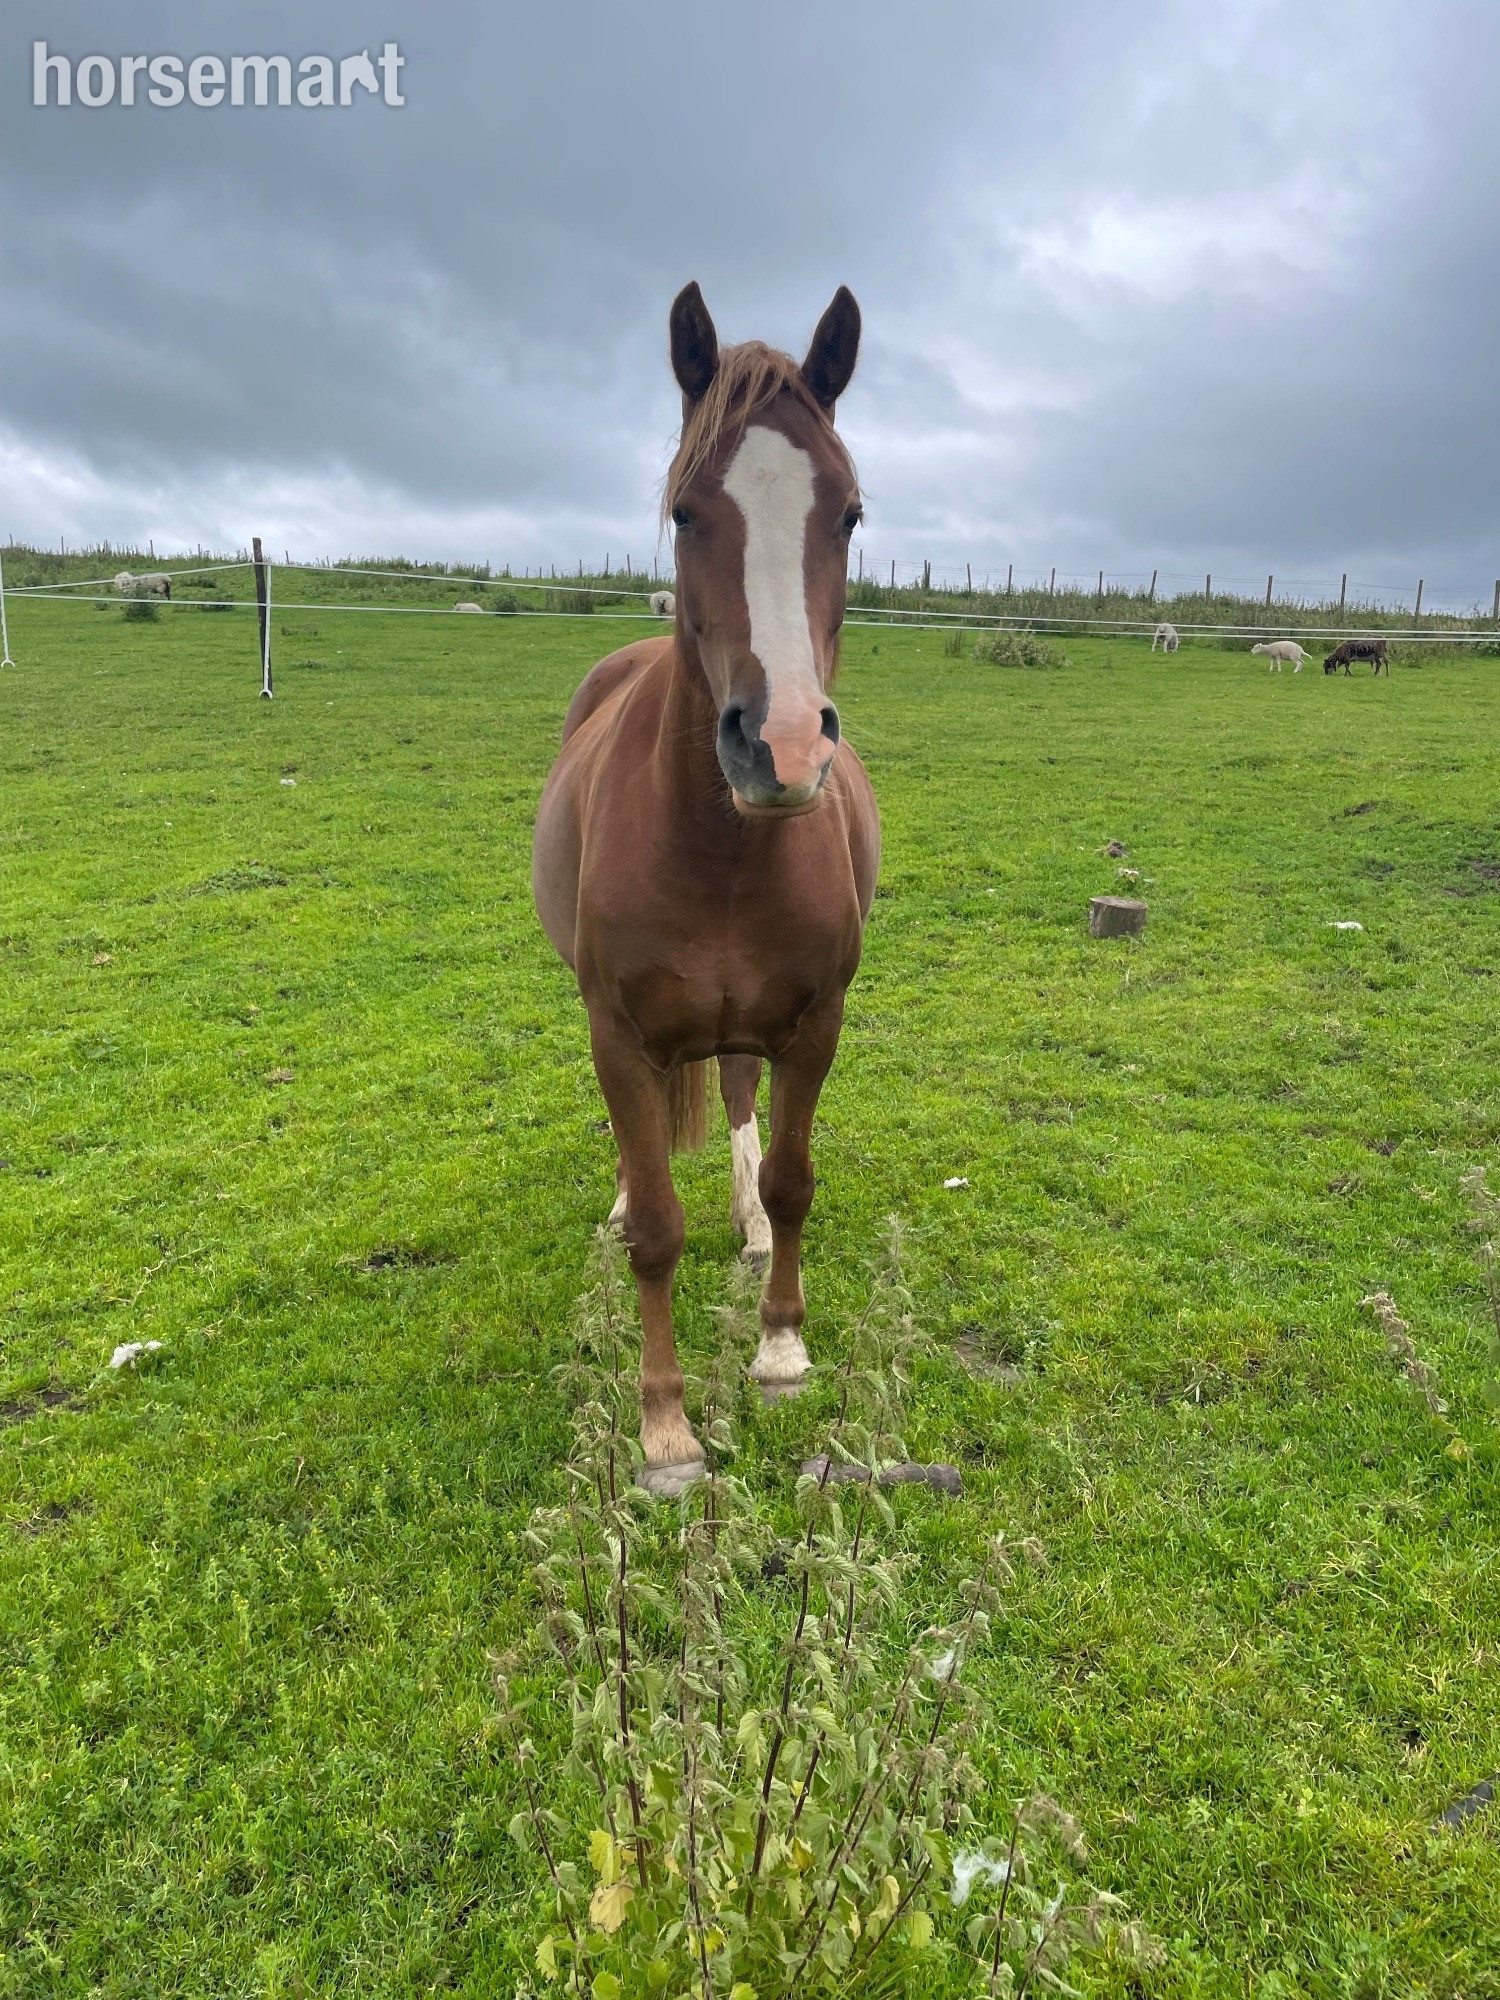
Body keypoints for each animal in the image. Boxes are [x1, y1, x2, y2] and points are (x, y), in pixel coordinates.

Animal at [533, 282, 880, 1494]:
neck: (722, 849)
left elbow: (792, 1177)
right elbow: (657, 1232)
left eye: (849, 514)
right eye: (686, 512)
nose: (780, 746)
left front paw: (780, 1349)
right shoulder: (620, 1036)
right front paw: (666, 1425)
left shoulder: (816, 1023)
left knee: (735, 1094)